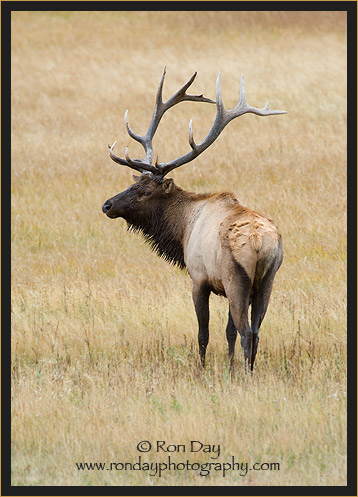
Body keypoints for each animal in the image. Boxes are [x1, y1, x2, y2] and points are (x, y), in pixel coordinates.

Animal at [102, 67, 286, 368]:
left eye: (145, 191)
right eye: (134, 182)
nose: (107, 205)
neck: (183, 227)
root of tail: (261, 243)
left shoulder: (199, 279)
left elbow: (204, 333)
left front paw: (201, 369)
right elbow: (228, 333)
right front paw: (229, 366)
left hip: (237, 279)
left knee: (247, 332)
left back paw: (246, 374)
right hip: (268, 280)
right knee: (256, 331)